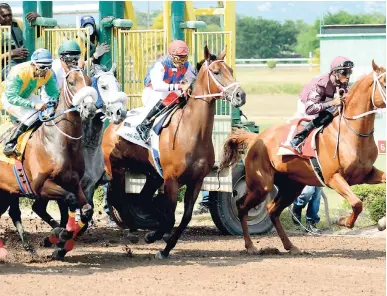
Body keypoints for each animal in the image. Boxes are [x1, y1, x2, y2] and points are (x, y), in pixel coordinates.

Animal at [0, 65, 97, 260]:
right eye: (72, 82)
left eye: (90, 81)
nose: (89, 108)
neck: (58, 141)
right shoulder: (40, 186)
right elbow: (69, 200)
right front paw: (59, 236)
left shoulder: (72, 182)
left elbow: (86, 210)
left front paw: (58, 242)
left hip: (9, 191)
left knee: (16, 212)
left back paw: (30, 249)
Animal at [103, 45, 247, 260]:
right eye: (216, 72)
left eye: (230, 69)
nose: (240, 95)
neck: (192, 132)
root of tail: (113, 123)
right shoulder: (171, 180)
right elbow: (171, 217)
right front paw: (159, 241)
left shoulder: (196, 181)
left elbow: (185, 217)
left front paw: (164, 242)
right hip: (117, 168)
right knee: (120, 198)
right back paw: (134, 231)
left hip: (152, 173)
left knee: (142, 198)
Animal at [220, 60, 386, 254]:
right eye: (384, 84)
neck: (351, 133)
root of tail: (256, 138)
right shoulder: (333, 178)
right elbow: (357, 203)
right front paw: (342, 221)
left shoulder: (366, 174)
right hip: (262, 185)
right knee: (242, 206)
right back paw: (251, 246)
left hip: (292, 186)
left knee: (272, 210)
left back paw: (290, 246)